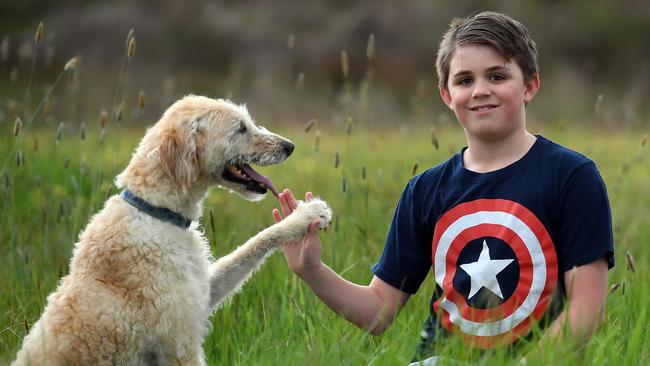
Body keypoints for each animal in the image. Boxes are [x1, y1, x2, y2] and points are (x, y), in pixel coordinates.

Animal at [12, 96, 332, 364]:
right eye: (240, 128)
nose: (290, 146)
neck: (157, 211)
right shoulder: (180, 344)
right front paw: (307, 215)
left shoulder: (203, 290)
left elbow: (253, 245)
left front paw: (301, 217)